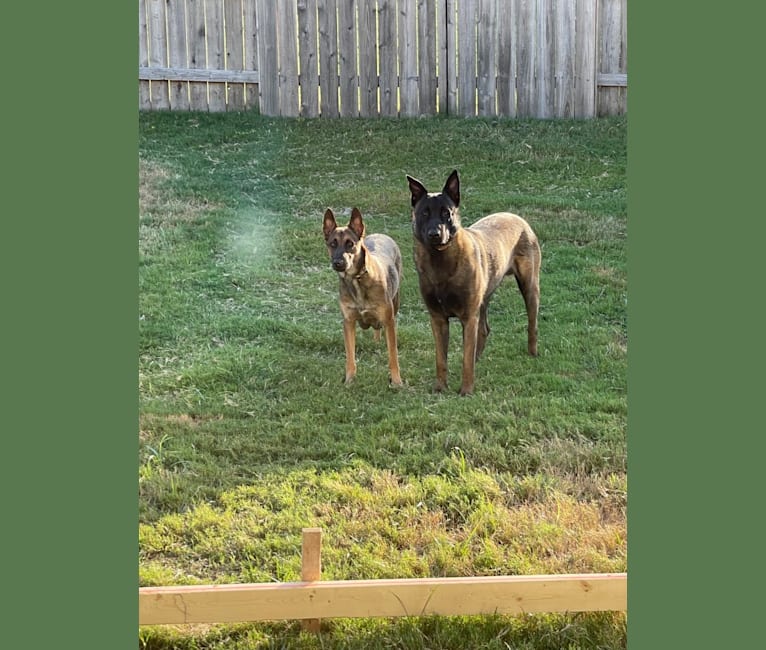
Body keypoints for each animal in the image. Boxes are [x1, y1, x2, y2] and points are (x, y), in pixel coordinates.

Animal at [324, 208, 404, 384]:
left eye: (350, 244)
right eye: (332, 243)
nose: (338, 263)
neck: (356, 280)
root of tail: (382, 234)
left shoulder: (389, 320)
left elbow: (393, 356)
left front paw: (396, 382)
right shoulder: (348, 322)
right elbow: (350, 356)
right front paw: (349, 380)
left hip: (395, 303)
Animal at [408, 170, 540, 392]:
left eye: (447, 213)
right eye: (424, 213)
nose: (435, 235)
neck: (441, 262)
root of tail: (518, 218)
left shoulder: (468, 317)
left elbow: (465, 359)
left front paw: (466, 390)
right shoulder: (438, 319)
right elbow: (441, 359)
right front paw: (440, 387)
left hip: (529, 287)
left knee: (532, 324)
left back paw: (532, 352)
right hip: (484, 298)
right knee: (484, 330)